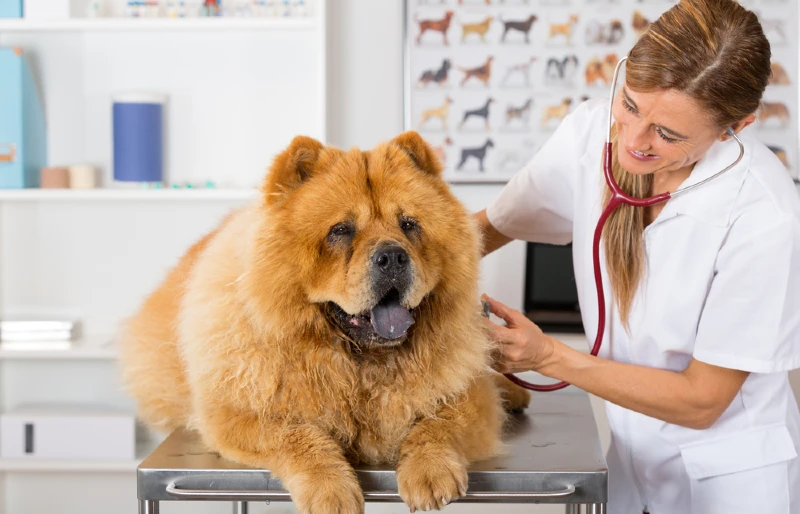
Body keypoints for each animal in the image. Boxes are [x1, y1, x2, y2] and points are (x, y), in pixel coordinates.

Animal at [120, 130, 532, 510]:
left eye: (408, 225)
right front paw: (330, 491)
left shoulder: (471, 399)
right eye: (341, 230)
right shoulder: (239, 413)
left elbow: (440, 423)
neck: (360, 365)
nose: (393, 257)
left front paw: (430, 472)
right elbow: (297, 437)